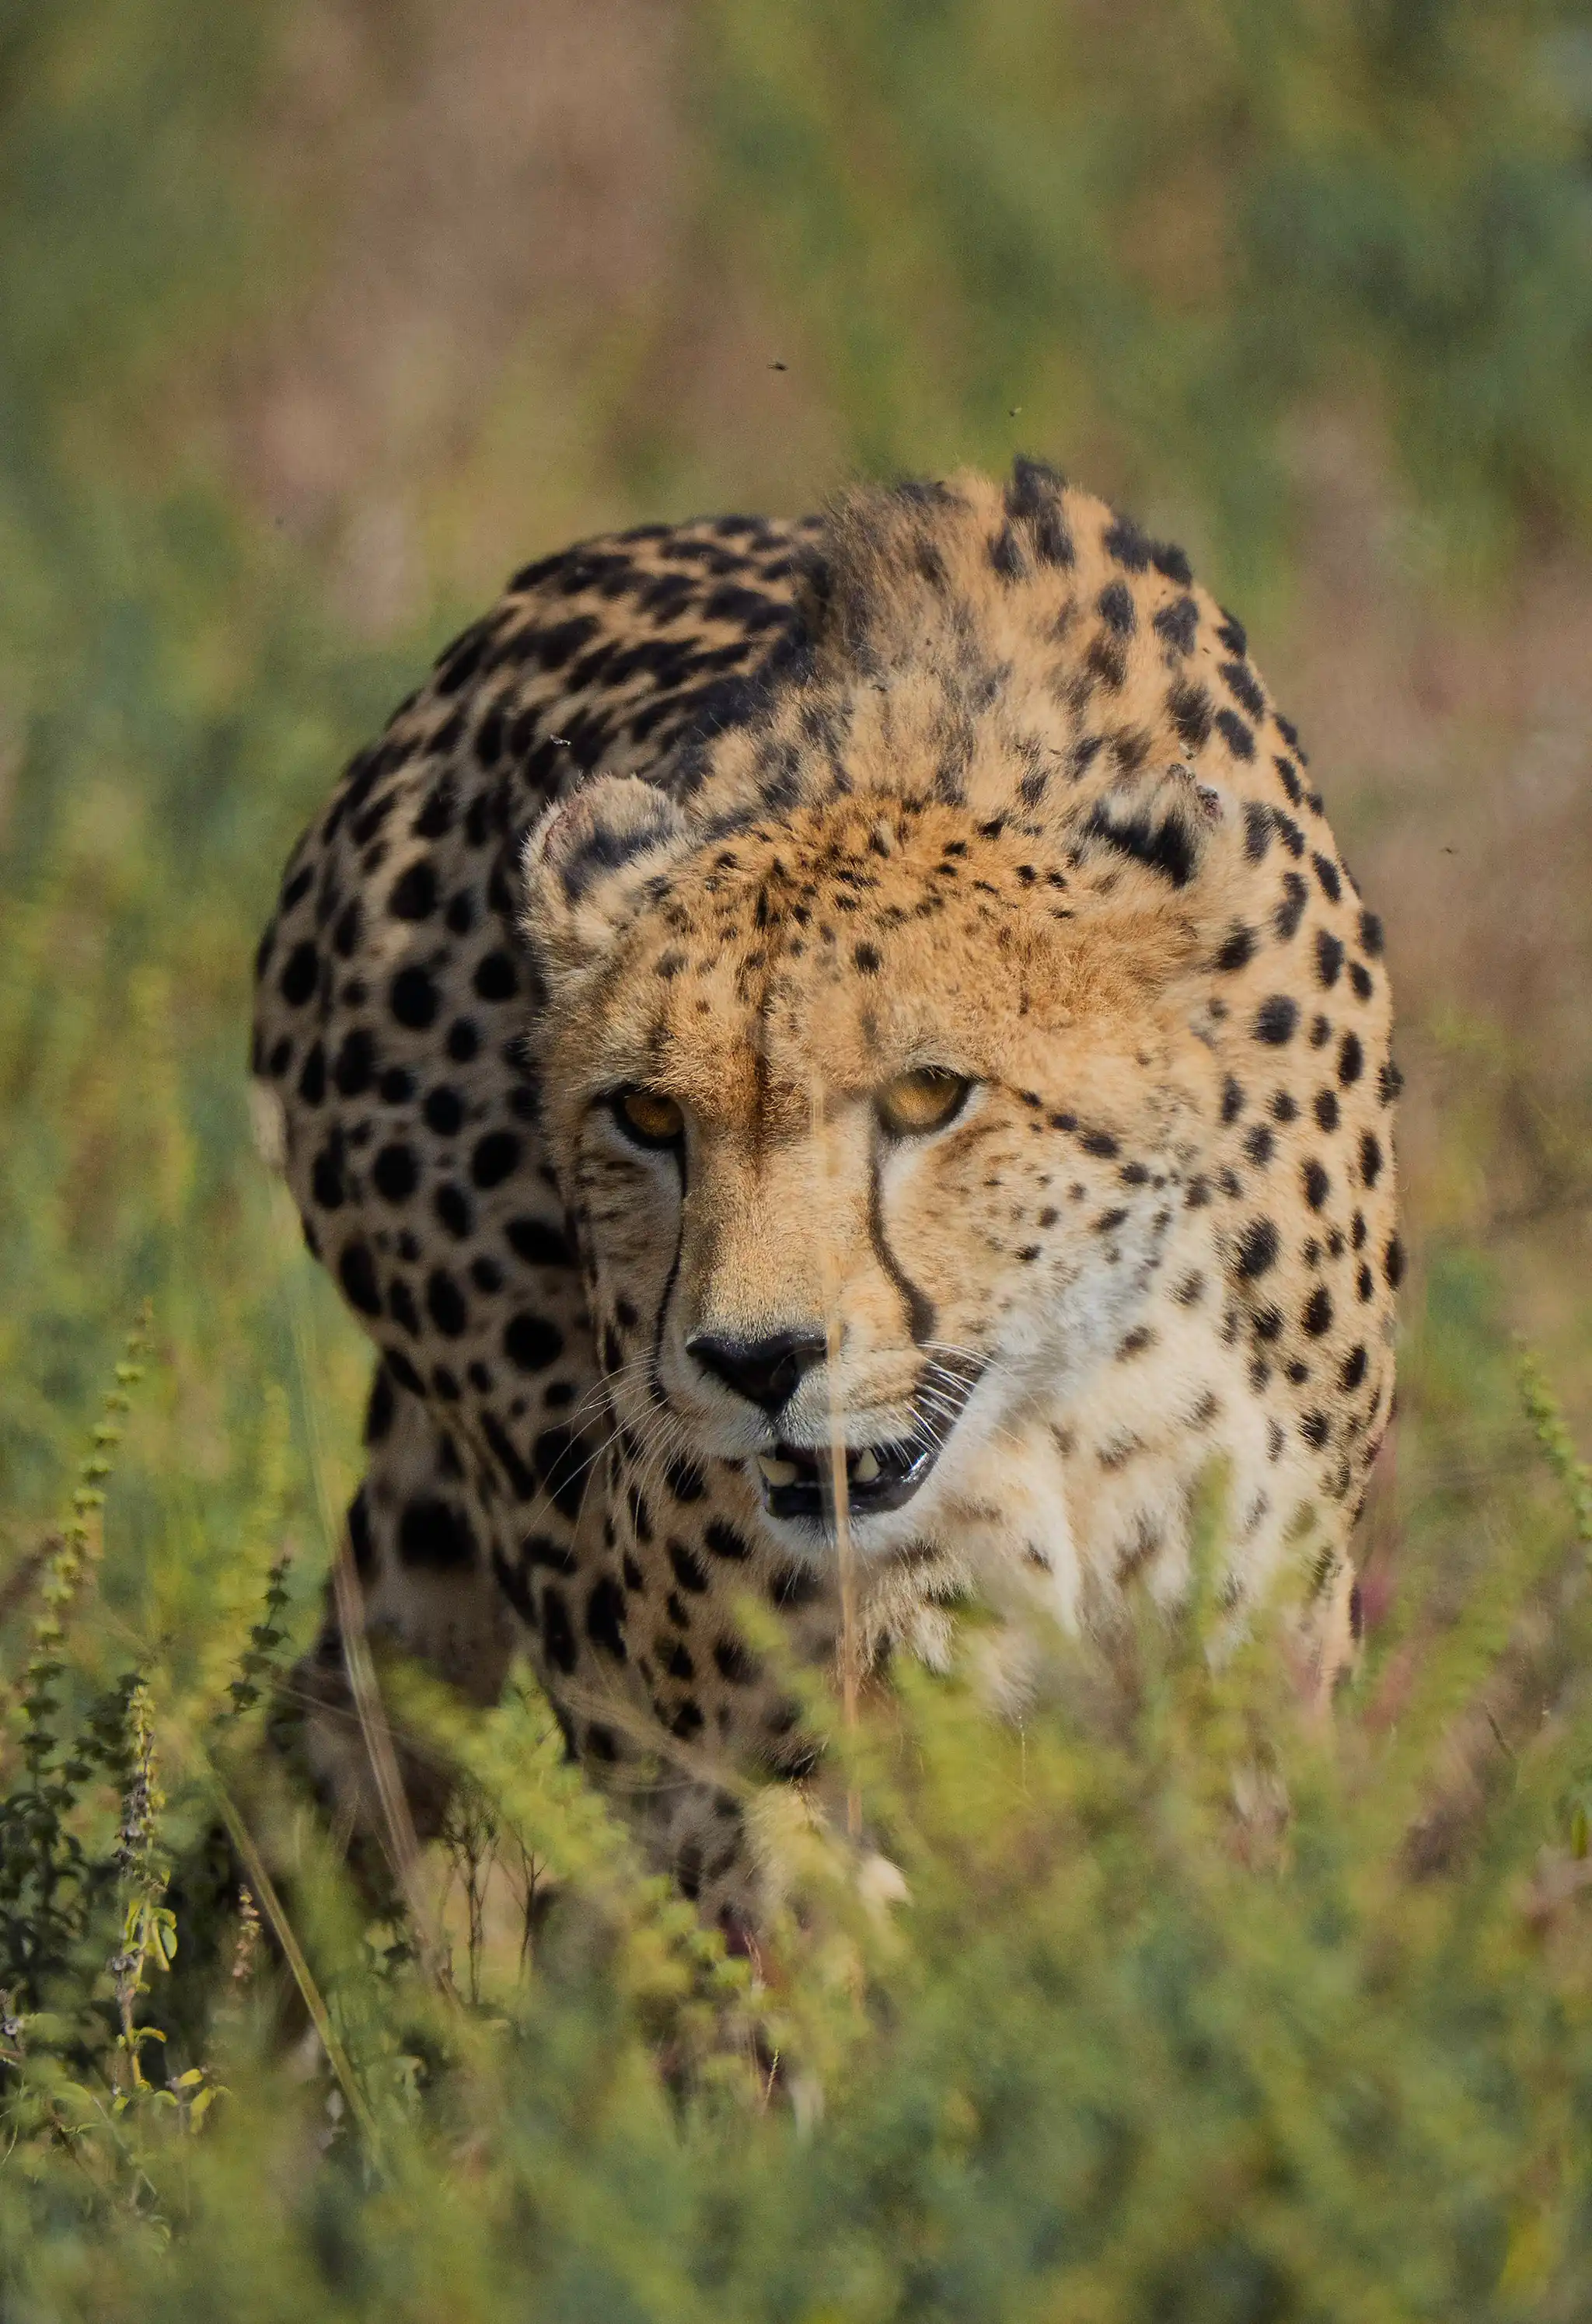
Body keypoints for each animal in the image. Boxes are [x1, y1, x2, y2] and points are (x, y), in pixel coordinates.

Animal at [251, 458, 1400, 1929]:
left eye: (928, 1096)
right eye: (646, 1115)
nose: (756, 1362)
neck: (1064, 1408)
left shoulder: (1246, 1669)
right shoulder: (752, 1729)